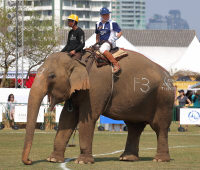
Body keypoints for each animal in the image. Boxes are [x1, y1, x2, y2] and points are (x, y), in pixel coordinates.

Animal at [22, 50, 174, 165]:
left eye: (52, 76)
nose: (29, 160)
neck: (78, 61)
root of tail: (168, 75)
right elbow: (66, 118)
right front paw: (53, 159)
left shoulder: (95, 89)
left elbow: (87, 117)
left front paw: (82, 161)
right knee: (134, 126)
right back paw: (127, 158)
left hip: (163, 99)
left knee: (160, 127)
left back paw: (159, 159)